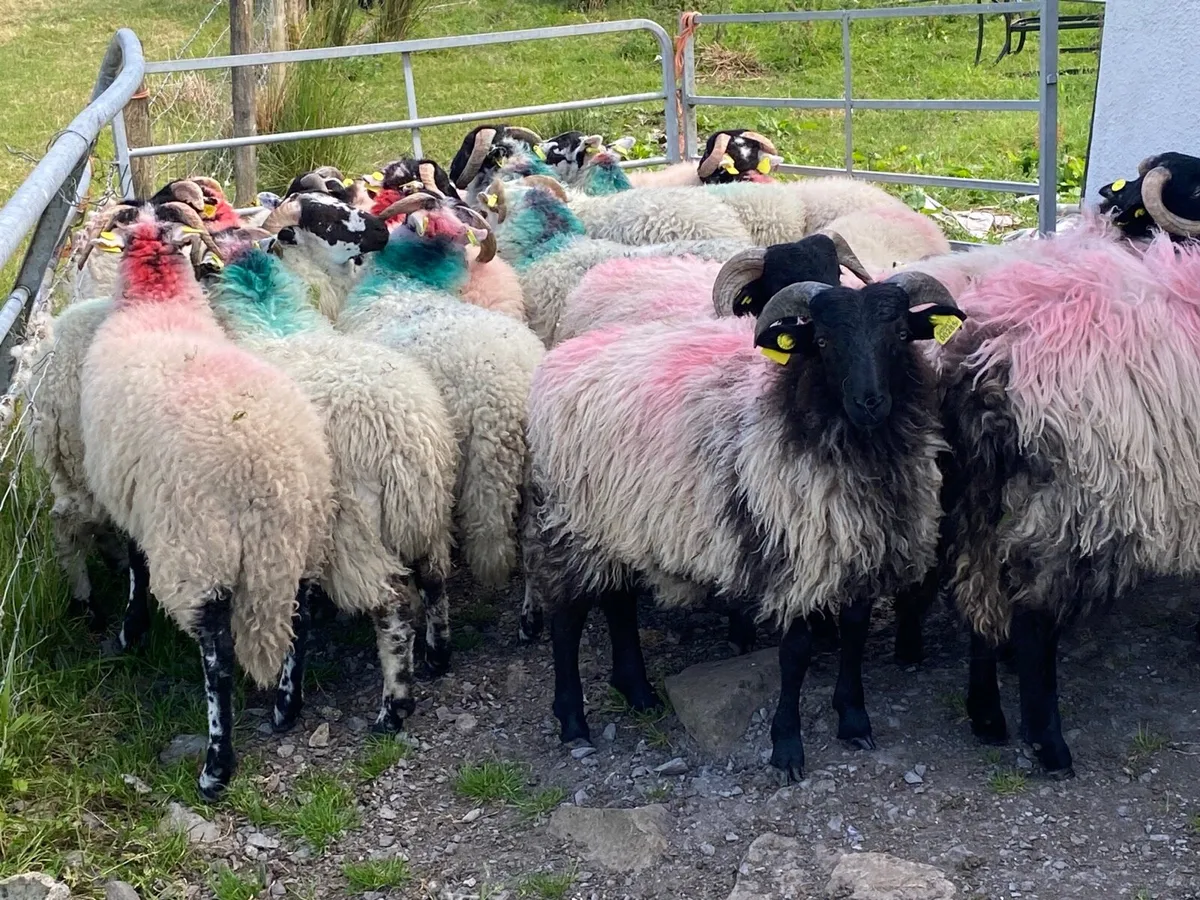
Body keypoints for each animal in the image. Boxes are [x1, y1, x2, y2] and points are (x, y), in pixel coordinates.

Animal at [79, 200, 334, 799]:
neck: (159, 302)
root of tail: (269, 475)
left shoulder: (131, 500)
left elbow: (135, 564)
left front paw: (130, 630)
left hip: (198, 549)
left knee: (217, 659)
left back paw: (217, 766)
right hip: (305, 538)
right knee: (300, 616)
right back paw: (286, 707)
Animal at [209, 244, 460, 712]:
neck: (271, 320)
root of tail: (401, 443)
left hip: (354, 532)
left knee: (392, 607)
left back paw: (395, 705)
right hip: (426, 513)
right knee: (434, 579)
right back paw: (438, 656)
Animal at [524, 270, 964, 777]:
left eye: (900, 334)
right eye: (824, 342)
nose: (869, 402)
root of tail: (558, 357)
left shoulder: (861, 547)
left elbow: (854, 633)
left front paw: (854, 720)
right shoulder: (795, 553)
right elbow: (795, 653)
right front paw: (787, 747)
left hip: (618, 523)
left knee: (619, 602)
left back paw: (638, 692)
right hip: (571, 522)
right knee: (567, 618)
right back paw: (573, 720)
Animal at [926, 216, 1200, 779]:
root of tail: (989, 355)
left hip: (976, 495)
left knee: (978, 600)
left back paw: (986, 716)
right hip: (1077, 505)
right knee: (1033, 620)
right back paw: (1048, 745)